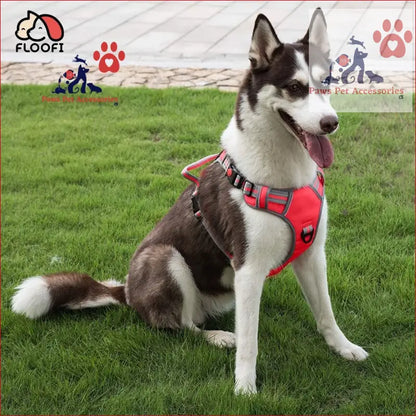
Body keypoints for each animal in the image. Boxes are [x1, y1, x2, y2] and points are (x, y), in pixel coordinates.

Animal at [11, 8, 368, 394]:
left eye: (325, 83)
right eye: (295, 88)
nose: (330, 123)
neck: (285, 174)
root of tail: (127, 292)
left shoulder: (312, 255)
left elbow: (326, 313)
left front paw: (342, 347)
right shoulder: (248, 268)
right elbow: (250, 341)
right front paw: (245, 388)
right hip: (164, 257)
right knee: (181, 327)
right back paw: (217, 337)